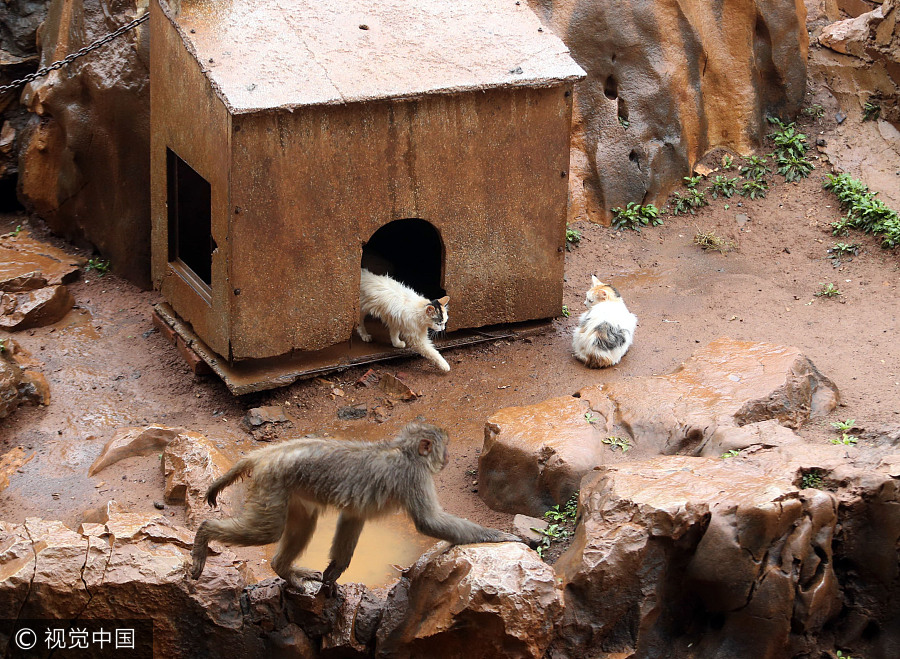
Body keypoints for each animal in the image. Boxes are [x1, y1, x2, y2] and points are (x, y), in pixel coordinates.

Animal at [193, 422, 524, 592]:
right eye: (443, 448)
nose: (447, 458)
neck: (405, 452)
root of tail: (267, 454)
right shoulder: (413, 476)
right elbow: (428, 521)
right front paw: (497, 535)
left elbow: (353, 517)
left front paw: (335, 570)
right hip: (272, 483)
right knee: (267, 531)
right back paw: (204, 534)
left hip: (287, 487)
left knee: (304, 522)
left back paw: (283, 569)